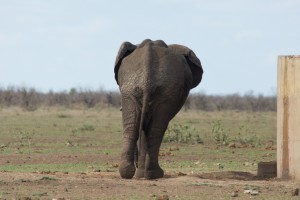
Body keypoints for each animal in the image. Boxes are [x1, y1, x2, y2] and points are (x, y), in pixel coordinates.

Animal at [113, 39, 203, 180]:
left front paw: (140, 174)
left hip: (137, 88)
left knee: (137, 127)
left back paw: (133, 173)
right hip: (144, 89)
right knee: (154, 129)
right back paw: (153, 174)